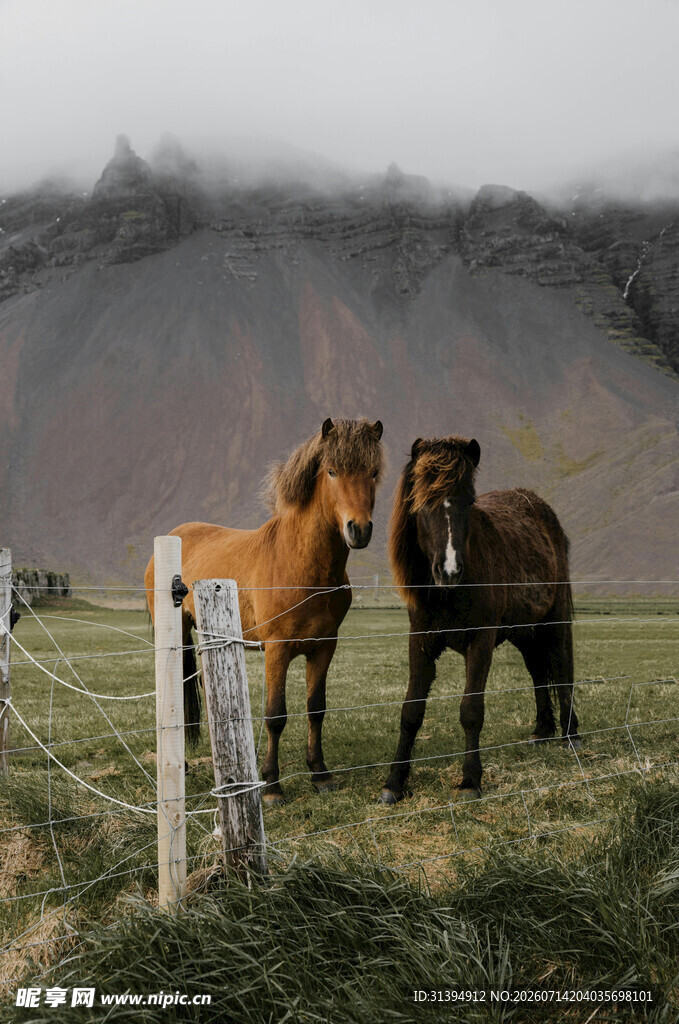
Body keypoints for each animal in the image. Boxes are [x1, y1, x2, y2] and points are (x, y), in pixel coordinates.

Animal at [145, 417, 384, 804]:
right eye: (332, 471)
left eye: (373, 473)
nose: (359, 529)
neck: (301, 564)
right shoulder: (277, 650)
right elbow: (276, 716)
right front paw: (272, 785)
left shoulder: (324, 647)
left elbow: (316, 708)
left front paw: (320, 773)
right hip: (177, 635)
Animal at [379, 435, 580, 805]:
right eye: (421, 501)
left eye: (470, 500)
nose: (449, 570)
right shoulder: (421, 641)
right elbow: (411, 712)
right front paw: (394, 784)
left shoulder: (481, 640)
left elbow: (471, 710)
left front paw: (470, 781)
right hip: (524, 630)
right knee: (538, 671)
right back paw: (542, 731)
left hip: (554, 619)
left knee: (562, 669)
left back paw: (570, 734)